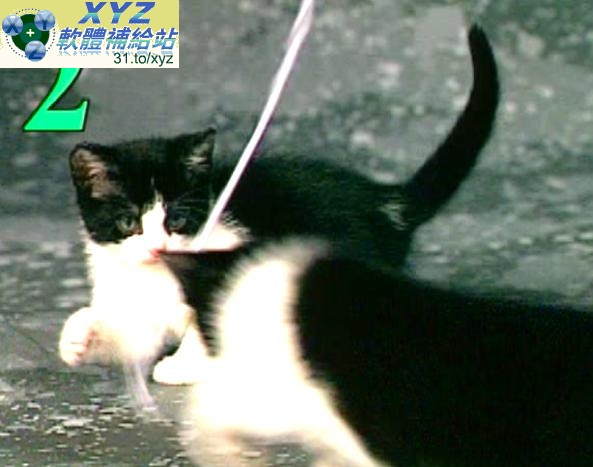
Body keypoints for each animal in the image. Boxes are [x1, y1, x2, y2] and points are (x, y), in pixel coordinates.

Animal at [58, 24, 499, 385]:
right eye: (128, 222)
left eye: (178, 219)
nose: (156, 248)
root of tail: (384, 201)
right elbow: (132, 331)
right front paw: (79, 336)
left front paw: (185, 365)